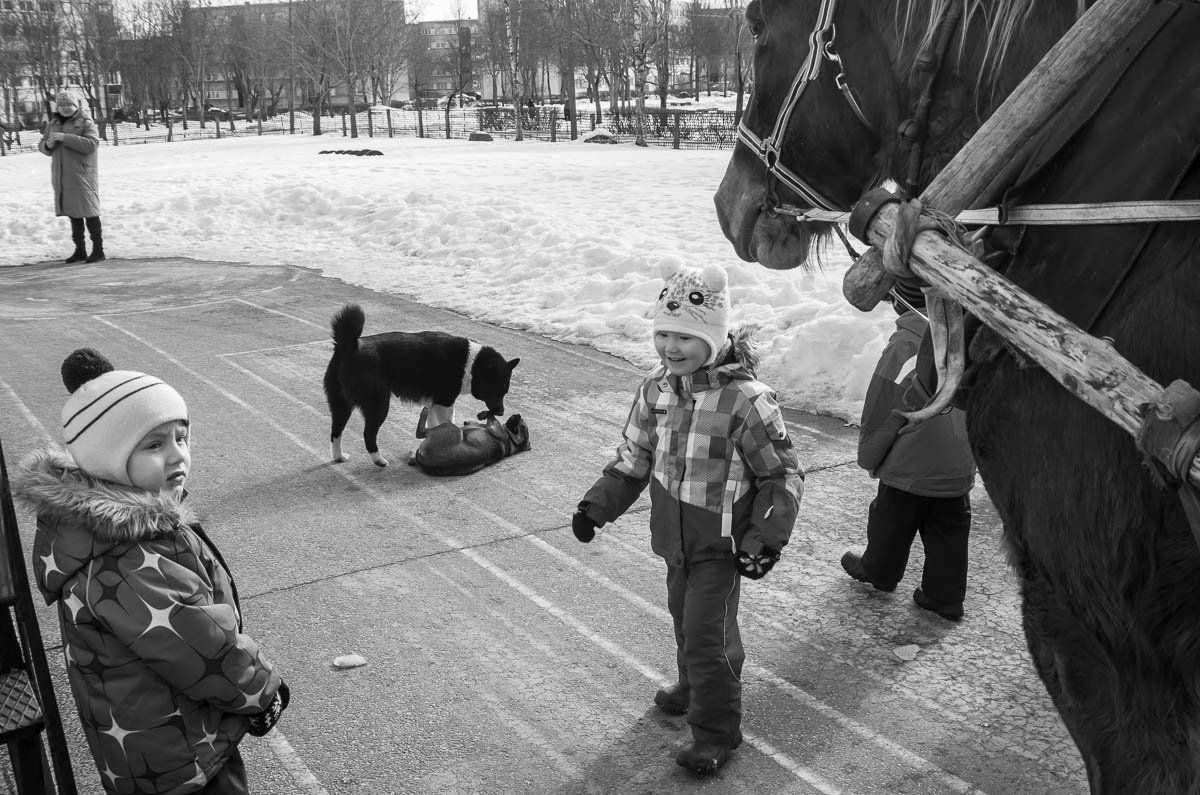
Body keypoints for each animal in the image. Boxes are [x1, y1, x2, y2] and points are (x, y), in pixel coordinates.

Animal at [326, 303, 518, 468]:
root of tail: (349, 346)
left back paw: (339, 456)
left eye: (505, 391)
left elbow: (433, 426)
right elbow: (449, 423)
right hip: (378, 404)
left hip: (341, 404)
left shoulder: (433, 404)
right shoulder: (444, 402)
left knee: (336, 431)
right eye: (497, 389)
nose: (502, 412)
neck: (471, 363)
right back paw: (379, 460)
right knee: (368, 434)